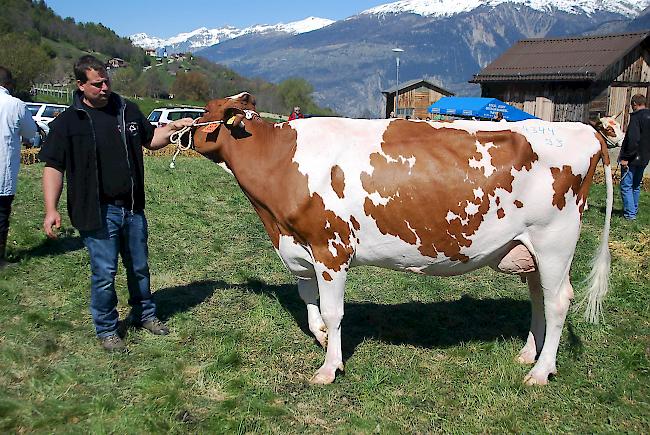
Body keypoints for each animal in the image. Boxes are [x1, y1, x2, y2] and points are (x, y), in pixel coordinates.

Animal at [189, 92, 612, 384]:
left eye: (204, 115)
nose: (178, 132)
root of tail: (585, 130)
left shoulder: (331, 249)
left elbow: (333, 310)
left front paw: (329, 368)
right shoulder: (300, 248)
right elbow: (309, 303)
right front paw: (323, 338)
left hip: (554, 242)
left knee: (558, 302)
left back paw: (541, 372)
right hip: (528, 250)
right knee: (539, 298)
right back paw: (528, 355)